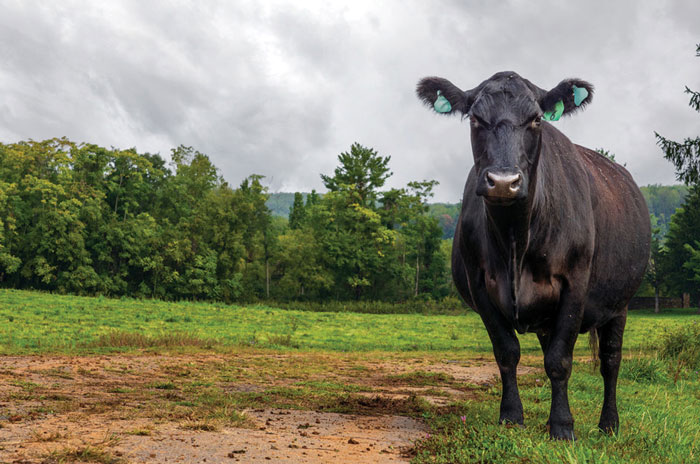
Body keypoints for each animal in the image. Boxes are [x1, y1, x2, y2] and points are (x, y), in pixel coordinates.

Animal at [416, 71, 652, 438]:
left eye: (537, 119)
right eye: (475, 118)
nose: (503, 181)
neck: (516, 239)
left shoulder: (575, 284)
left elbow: (560, 360)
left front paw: (562, 426)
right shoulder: (479, 285)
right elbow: (507, 352)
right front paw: (512, 416)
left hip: (620, 303)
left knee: (611, 360)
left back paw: (609, 424)